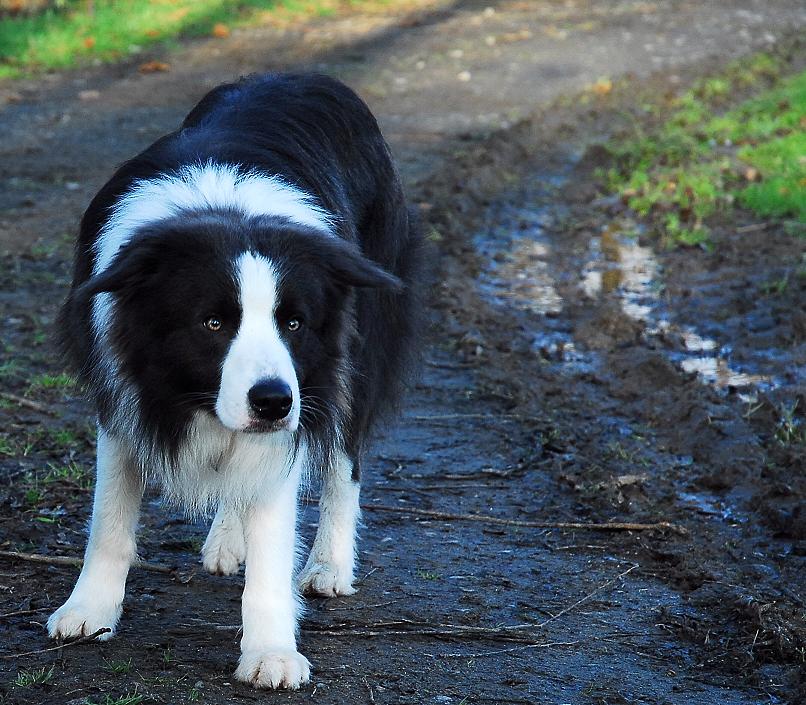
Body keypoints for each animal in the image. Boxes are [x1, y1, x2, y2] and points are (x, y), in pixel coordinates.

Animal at [49, 74, 430, 692]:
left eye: (293, 322)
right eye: (212, 323)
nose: (273, 402)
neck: (226, 210)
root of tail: (311, 75)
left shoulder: (302, 391)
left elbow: (277, 524)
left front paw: (271, 651)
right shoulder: (125, 384)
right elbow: (110, 512)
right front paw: (88, 610)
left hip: (358, 343)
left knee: (344, 457)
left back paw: (328, 565)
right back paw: (229, 538)